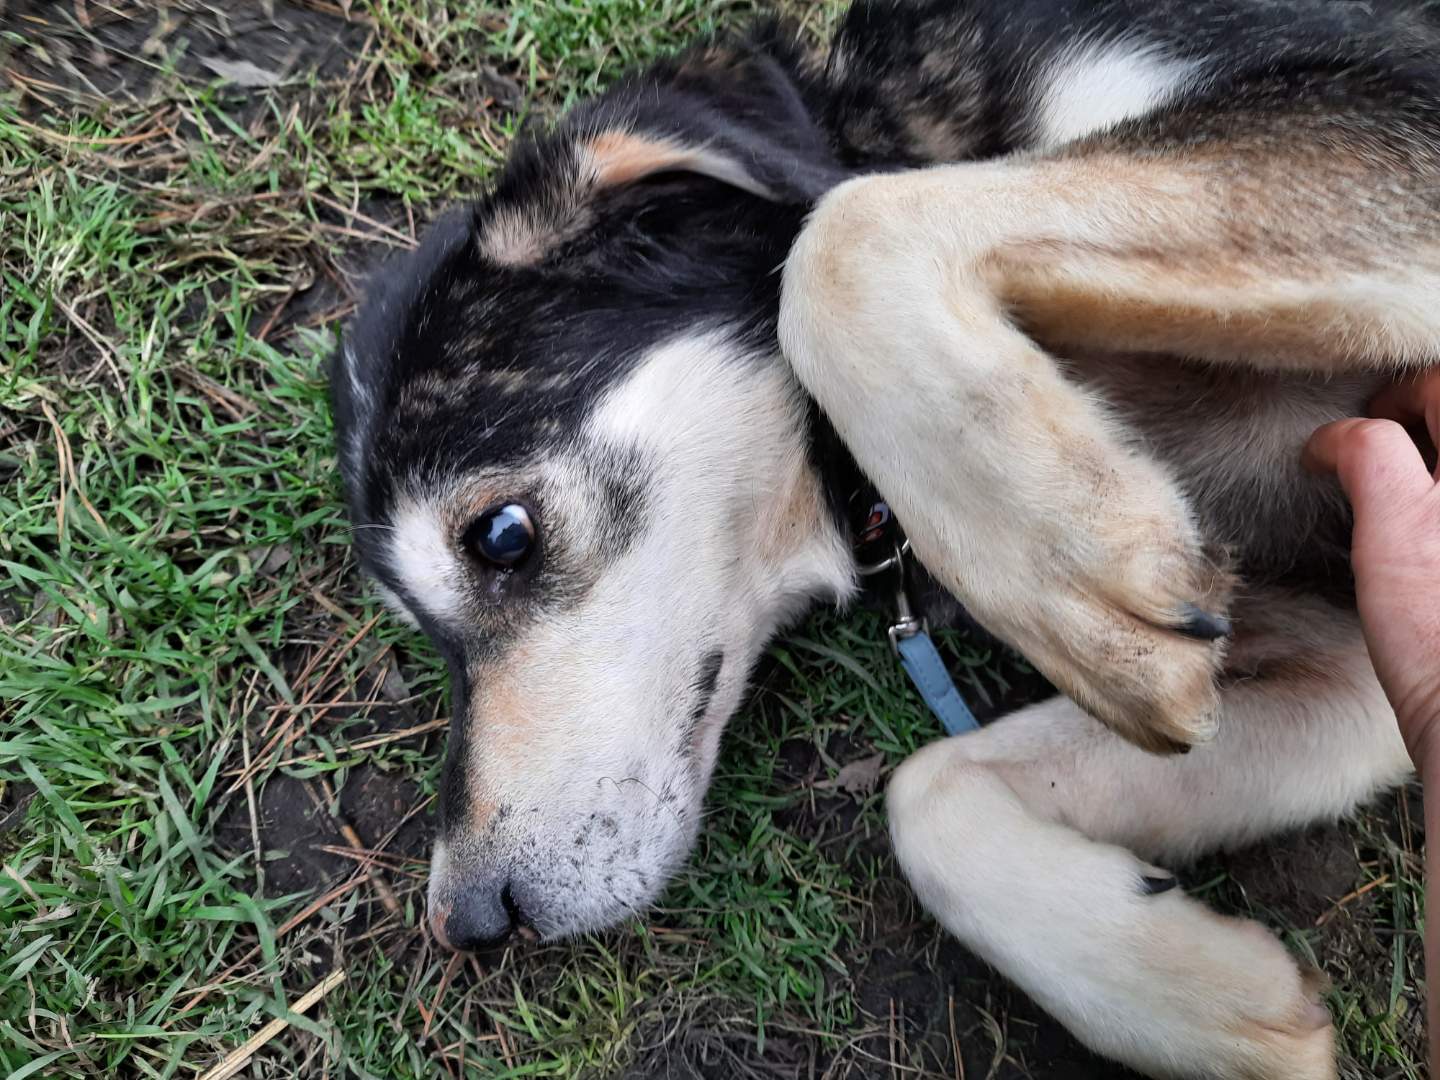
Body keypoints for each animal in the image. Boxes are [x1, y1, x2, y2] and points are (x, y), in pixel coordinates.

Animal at [332, 2, 1440, 1076]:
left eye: (500, 536)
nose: (470, 921)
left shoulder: (1380, 117)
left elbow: (844, 229)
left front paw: (1063, 553)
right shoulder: (1354, 656)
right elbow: (925, 794)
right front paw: (1201, 998)